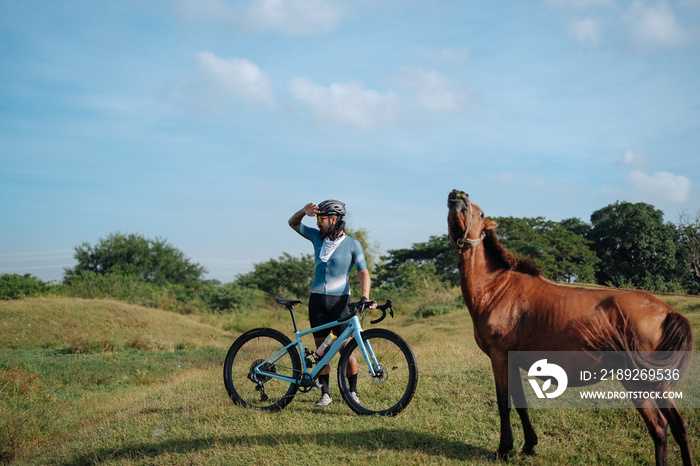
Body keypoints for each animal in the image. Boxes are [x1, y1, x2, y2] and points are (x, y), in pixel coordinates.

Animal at [448, 189, 696, 466]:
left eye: (481, 213)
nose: (457, 195)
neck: (496, 288)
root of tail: (667, 311)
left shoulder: (499, 357)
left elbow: (504, 403)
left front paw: (504, 448)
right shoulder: (511, 360)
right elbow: (520, 402)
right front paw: (529, 445)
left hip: (638, 383)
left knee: (660, 429)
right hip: (659, 384)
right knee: (680, 426)